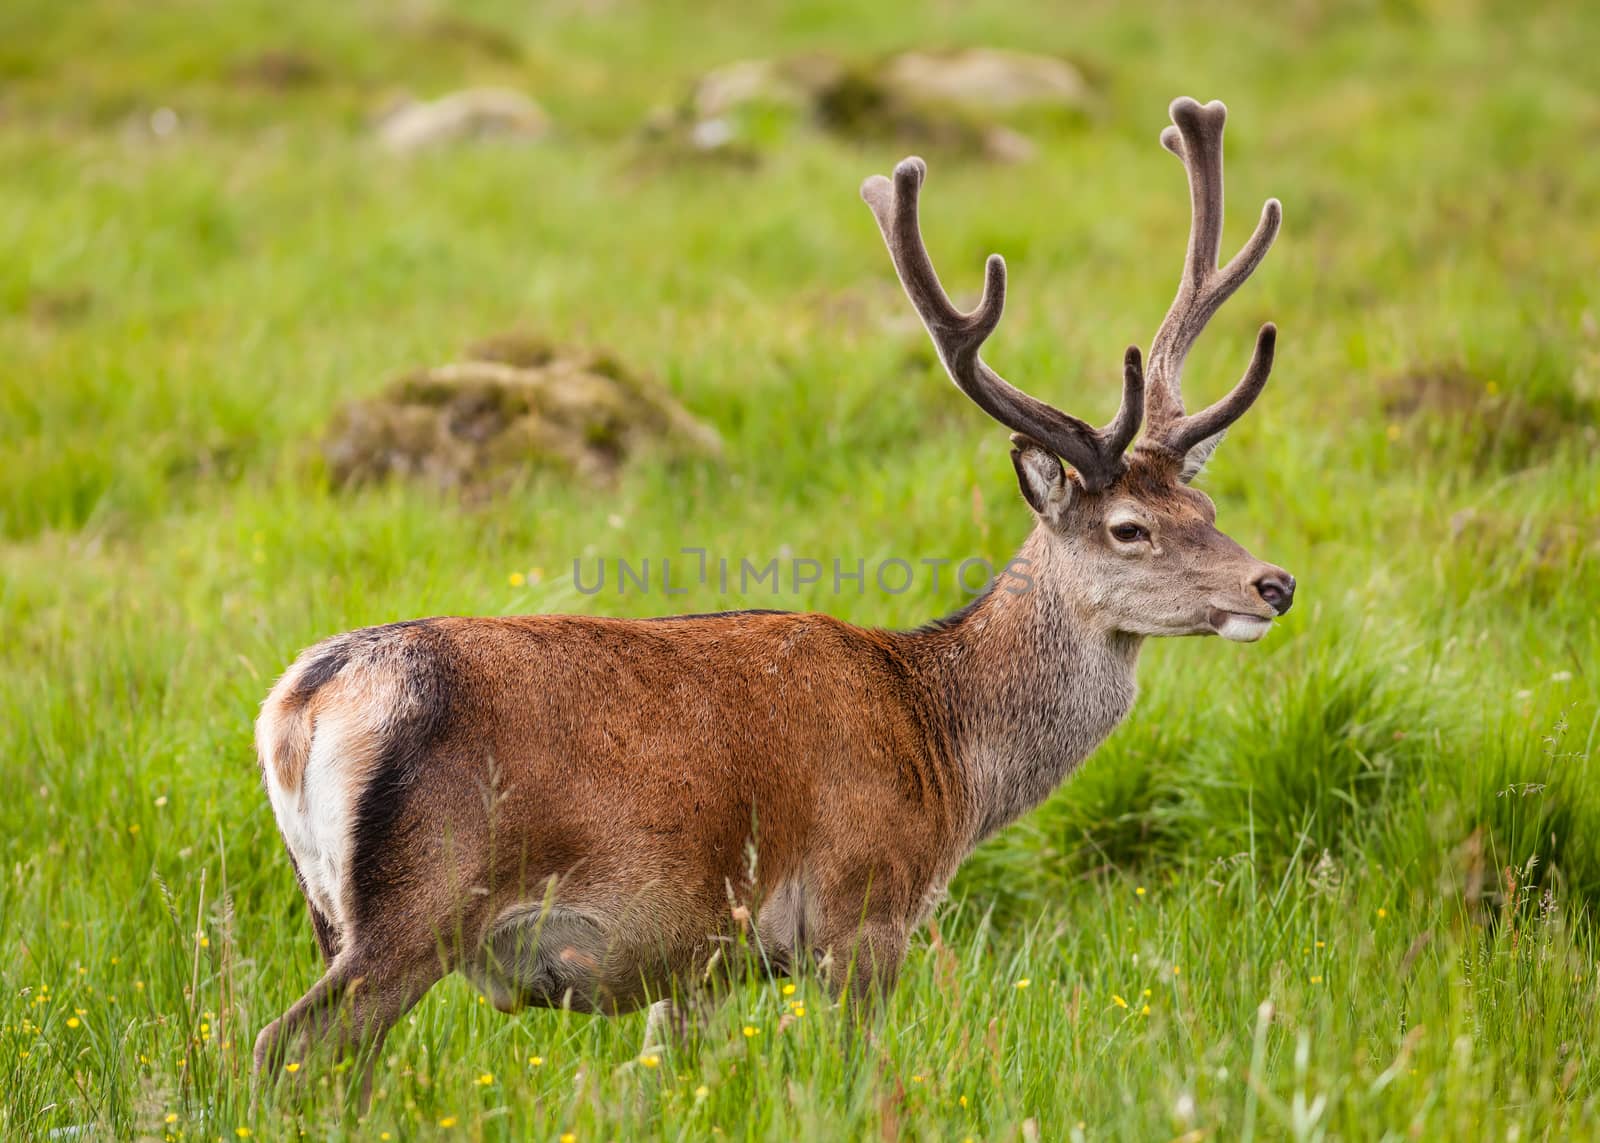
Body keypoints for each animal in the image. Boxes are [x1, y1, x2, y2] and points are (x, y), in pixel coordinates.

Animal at [252, 95, 1299, 1075]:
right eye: (1130, 528)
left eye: (1205, 506)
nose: (1275, 582)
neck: (949, 756)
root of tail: (301, 700)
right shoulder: (861, 908)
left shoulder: (699, 962)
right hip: (421, 895)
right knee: (287, 1042)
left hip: (326, 903)